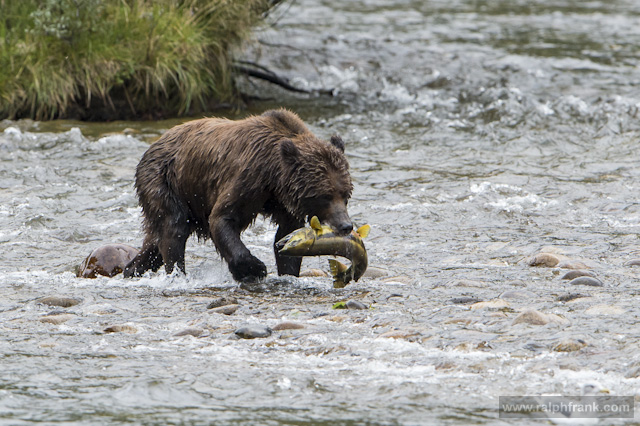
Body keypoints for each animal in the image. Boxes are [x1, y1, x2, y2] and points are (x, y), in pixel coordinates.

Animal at [123, 109, 353, 282]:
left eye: (346, 194)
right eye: (325, 196)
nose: (346, 225)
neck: (274, 178)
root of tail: (154, 144)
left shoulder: (285, 203)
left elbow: (286, 235)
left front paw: (288, 272)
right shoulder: (249, 178)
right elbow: (223, 217)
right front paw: (254, 268)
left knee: (155, 242)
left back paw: (131, 269)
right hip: (165, 180)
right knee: (173, 228)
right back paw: (177, 275)